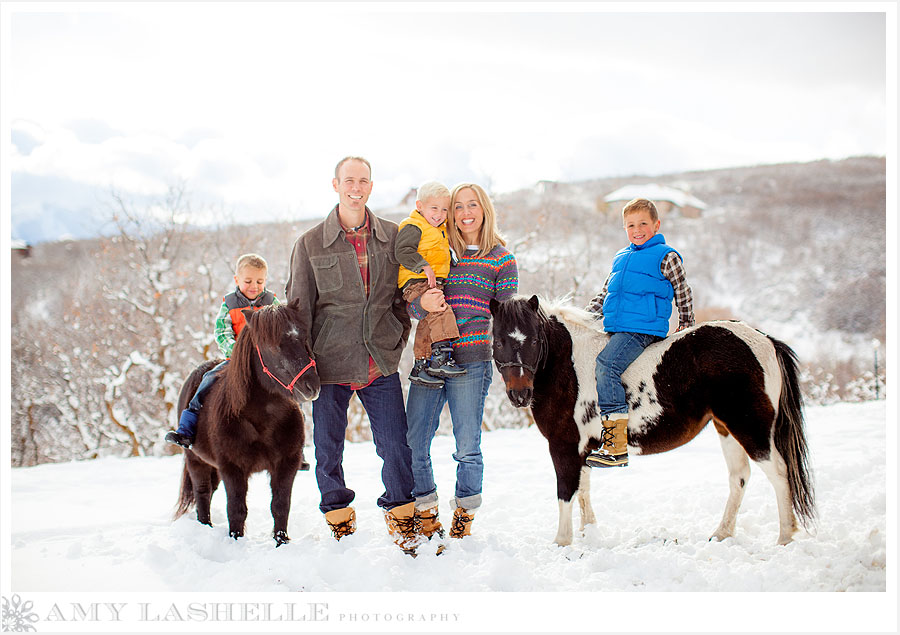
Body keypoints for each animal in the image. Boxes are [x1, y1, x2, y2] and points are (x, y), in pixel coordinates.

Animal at [173, 298, 320, 548]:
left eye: (303, 337)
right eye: (273, 346)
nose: (312, 386)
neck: (263, 420)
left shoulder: (286, 464)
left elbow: (280, 506)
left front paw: (281, 542)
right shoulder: (233, 468)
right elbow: (236, 509)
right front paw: (236, 541)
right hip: (195, 460)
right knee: (203, 493)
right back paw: (205, 527)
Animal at [492, 296, 816, 548]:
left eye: (535, 340)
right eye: (498, 340)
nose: (520, 394)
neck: (565, 364)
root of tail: (764, 340)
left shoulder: (564, 446)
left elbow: (566, 493)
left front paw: (562, 541)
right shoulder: (583, 448)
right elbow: (583, 490)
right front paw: (589, 534)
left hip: (751, 428)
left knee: (780, 474)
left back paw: (785, 538)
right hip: (727, 428)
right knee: (739, 477)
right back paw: (722, 534)